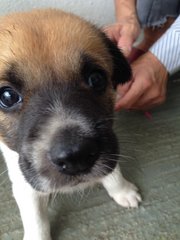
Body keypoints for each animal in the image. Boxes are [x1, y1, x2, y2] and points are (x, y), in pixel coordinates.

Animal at [0, 9, 141, 240]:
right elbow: (36, 219)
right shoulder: (24, 182)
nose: (76, 156)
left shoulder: (109, 144)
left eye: (96, 79)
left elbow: (113, 172)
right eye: (7, 97)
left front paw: (123, 191)